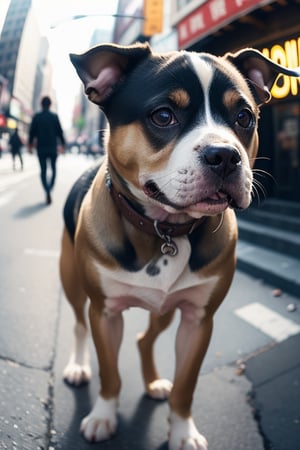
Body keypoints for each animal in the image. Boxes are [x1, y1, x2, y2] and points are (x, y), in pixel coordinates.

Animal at [59, 43, 300, 450]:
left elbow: (186, 385)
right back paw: (77, 366)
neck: (165, 229)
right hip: (73, 282)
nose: (225, 155)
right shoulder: (104, 314)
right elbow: (110, 372)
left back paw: (154, 382)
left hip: (165, 309)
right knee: (77, 324)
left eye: (244, 117)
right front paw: (103, 416)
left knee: (144, 339)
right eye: (163, 116)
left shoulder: (197, 320)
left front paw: (183, 432)